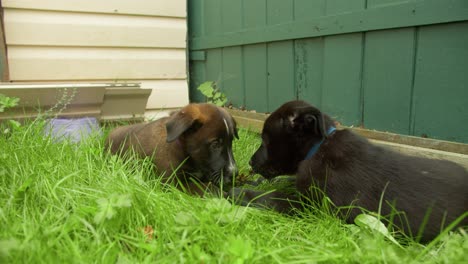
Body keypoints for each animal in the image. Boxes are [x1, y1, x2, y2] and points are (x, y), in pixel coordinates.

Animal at [231, 100, 468, 242]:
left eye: (265, 139)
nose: (250, 162)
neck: (320, 147)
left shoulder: (313, 207)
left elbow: (272, 196)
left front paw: (237, 192)